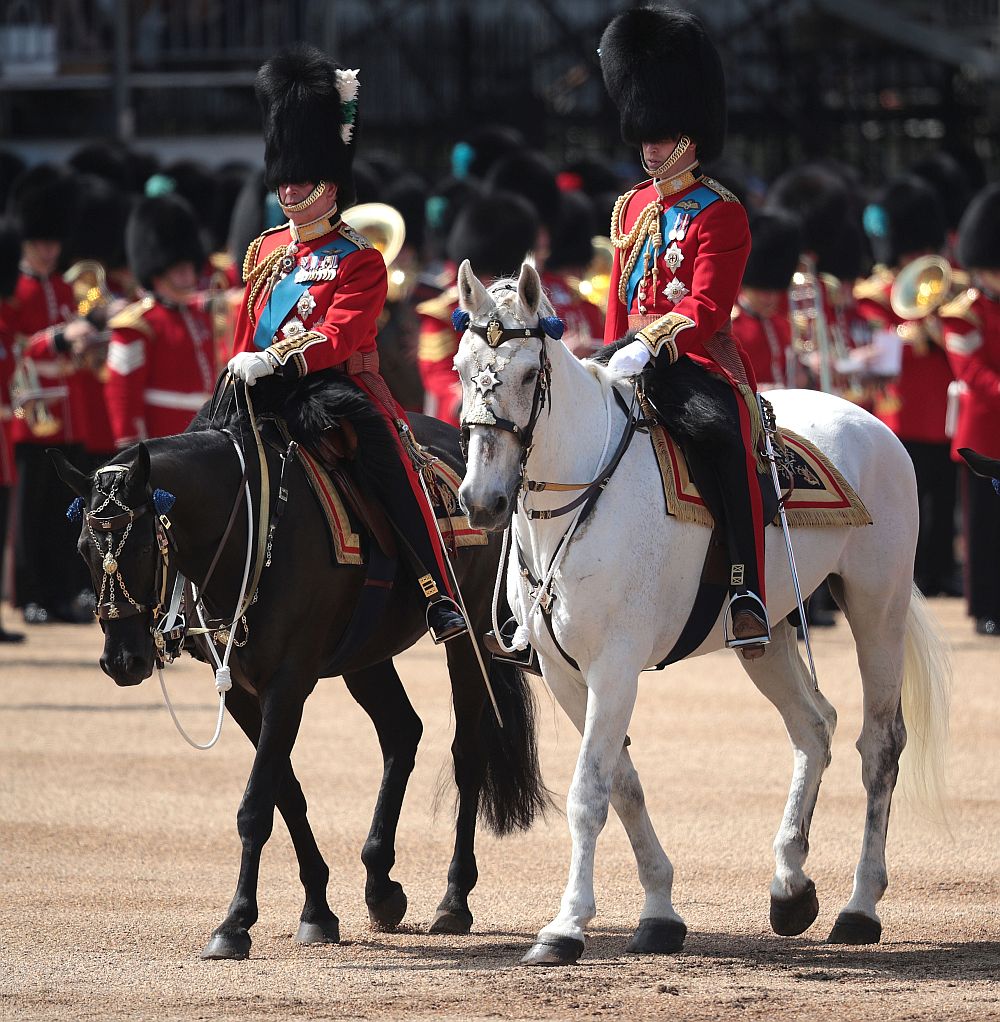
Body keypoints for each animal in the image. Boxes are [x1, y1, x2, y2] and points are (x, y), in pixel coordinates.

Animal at [52, 374, 543, 956]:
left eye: (143, 545)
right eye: (83, 547)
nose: (122, 661)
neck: (251, 528)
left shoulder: (288, 684)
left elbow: (255, 805)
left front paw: (235, 922)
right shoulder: (243, 691)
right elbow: (284, 794)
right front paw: (317, 910)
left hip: (467, 640)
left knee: (467, 753)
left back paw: (453, 898)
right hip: (365, 653)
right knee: (402, 732)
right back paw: (380, 885)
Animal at [453, 261, 952, 964]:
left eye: (528, 374)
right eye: (462, 368)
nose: (482, 501)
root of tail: (869, 420)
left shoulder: (615, 667)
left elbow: (589, 794)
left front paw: (567, 925)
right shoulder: (564, 673)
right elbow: (623, 785)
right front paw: (659, 913)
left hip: (875, 602)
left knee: (878, 743)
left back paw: (859, 906)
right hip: (767, 631)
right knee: (813, 727)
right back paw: (790, 885)